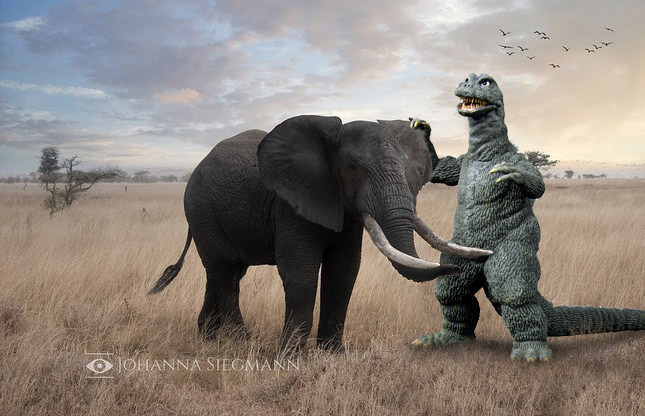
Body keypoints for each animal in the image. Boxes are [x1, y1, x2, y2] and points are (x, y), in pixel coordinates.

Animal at [148, 115, 492, 351]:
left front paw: (333, 355)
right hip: (201, 210)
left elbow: (343, 272)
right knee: (226, 272)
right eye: (353, 169)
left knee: (221, 271)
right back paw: (242, 342)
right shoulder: (291, 201)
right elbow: (301, 272)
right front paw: (290, 357)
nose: (457, 269)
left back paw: (208, 339)